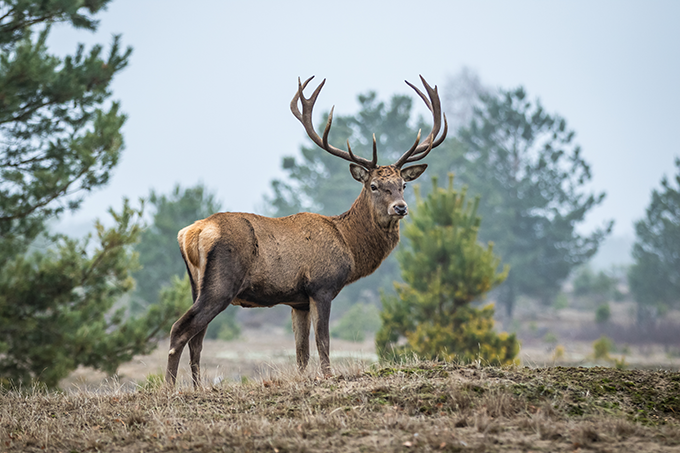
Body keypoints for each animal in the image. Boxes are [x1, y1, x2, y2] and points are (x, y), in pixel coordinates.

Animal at [165, 76, 447, 388]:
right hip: (221, 283)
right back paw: (170, 388)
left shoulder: (297, 300)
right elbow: (323, 341)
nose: (400, 207)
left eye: (403, 185)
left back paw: (197, 386)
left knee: (197, 338)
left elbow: (301, 352)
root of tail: (191, 233)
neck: (348, 244)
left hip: (196, 284)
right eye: (374, 185)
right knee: (180, 329)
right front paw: (328, 376)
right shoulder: (321, 286)